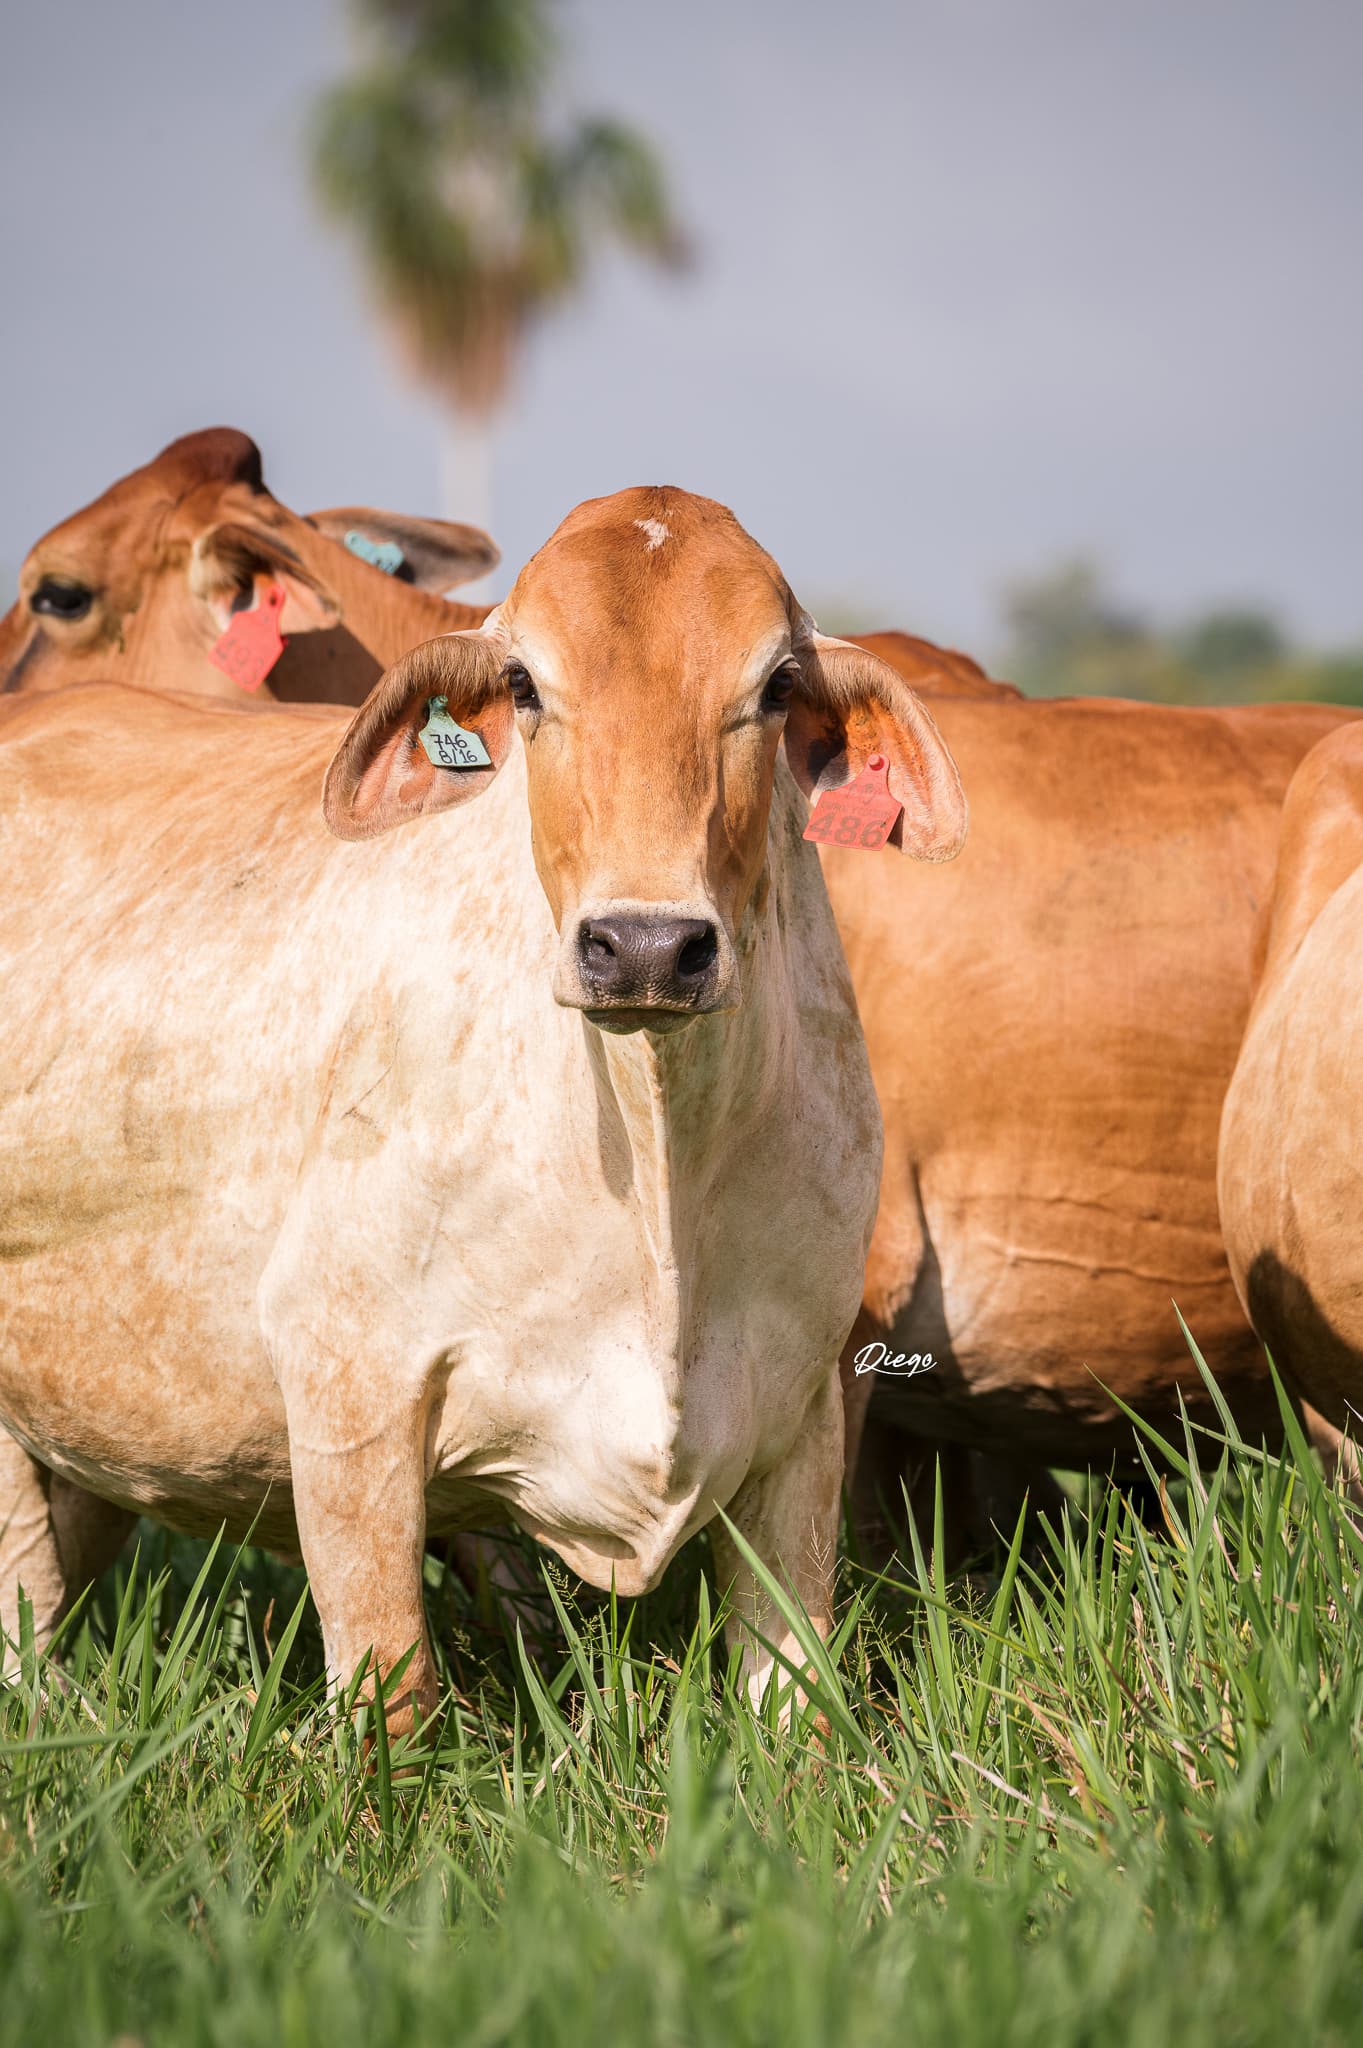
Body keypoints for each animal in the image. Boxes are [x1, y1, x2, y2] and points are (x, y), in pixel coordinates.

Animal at [0, 485, 967, 1724]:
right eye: (525, 684)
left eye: (774, 686)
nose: (644, 946)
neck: (653, 1162)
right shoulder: (350, 1398)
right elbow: (394, 1692)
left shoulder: (804, 1420)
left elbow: (791, 1694)